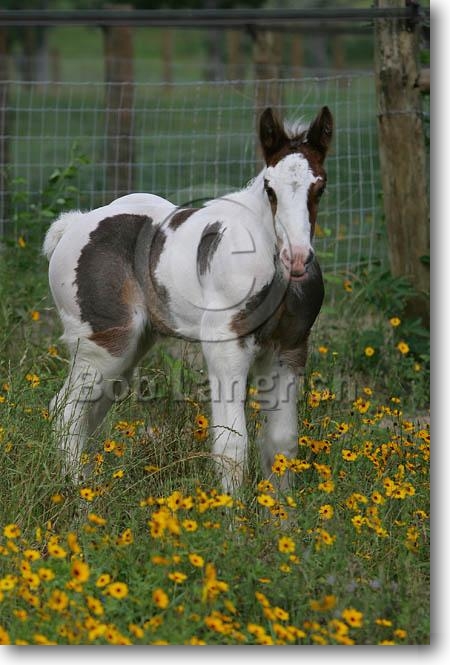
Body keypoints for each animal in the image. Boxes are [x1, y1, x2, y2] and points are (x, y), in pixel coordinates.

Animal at [43, 105, 333, 493]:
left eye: (321, 186)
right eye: (270, 189)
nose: (298, 258)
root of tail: (73, 225)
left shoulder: (289, 349)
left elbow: (281, 443)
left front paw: (281, 510)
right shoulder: (226, 346)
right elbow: (232, 444)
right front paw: (231, 511)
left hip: (129, 349)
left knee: (90, 411)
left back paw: (90, 486)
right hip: (103, 344)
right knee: (67, 410)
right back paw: (77, 490)